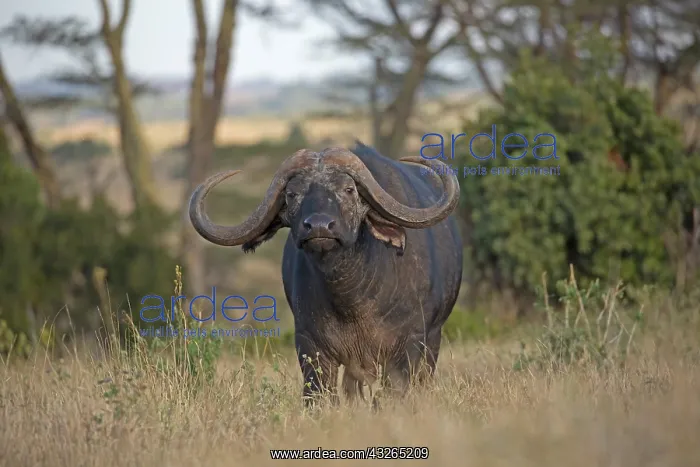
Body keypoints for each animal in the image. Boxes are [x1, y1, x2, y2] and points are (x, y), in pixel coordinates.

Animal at [189, 142, 462, 405]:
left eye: (349, 190)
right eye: (292, 194)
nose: (319, 226)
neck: (353, 299)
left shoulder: (411, 344)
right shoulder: (310, 345)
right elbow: (319, 396)